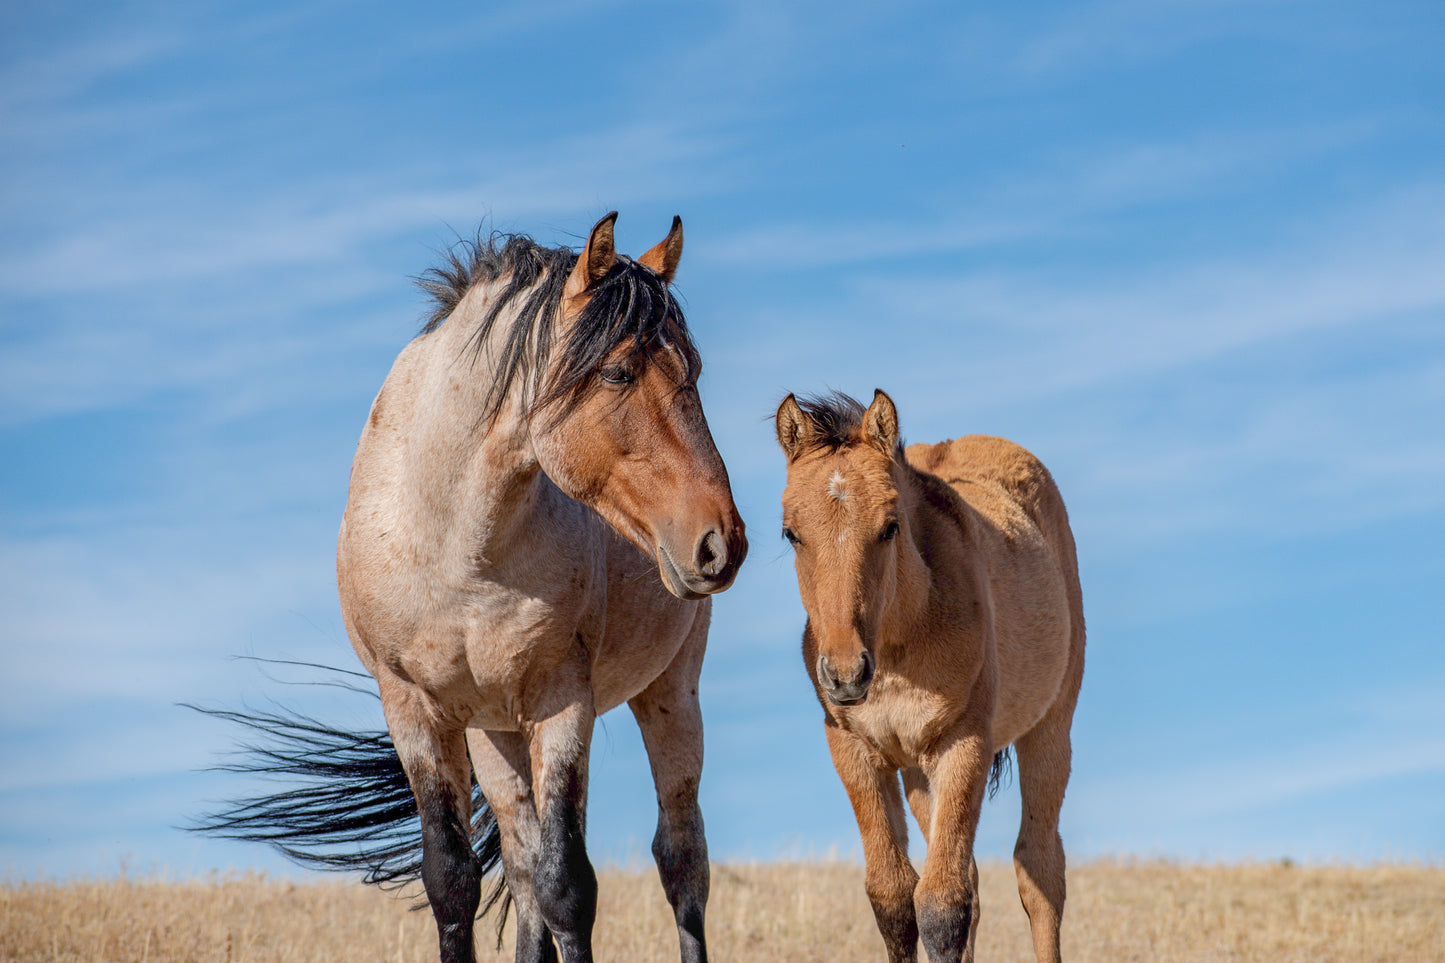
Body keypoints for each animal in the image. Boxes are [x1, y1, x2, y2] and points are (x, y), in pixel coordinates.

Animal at [203, 214, 745, 960]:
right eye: (618, 370)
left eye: (692, 369)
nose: (721, 540)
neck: (456, 544)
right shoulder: (415, 709)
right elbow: (455, 880)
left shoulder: (560, 699)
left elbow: (568, 885)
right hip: (495, 733)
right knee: (520, 870)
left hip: (667, 692)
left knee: (680, 861)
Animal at [774, 387, 1080, 954]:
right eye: (791, 534)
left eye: (890, 527)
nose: (845, 674)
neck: (898, 648)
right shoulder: (854, 749)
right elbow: (895, 898)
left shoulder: (964, 743)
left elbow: (941, 904)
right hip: (917, 770)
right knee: (973, 881)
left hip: (1049, 728)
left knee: (1039, 870)